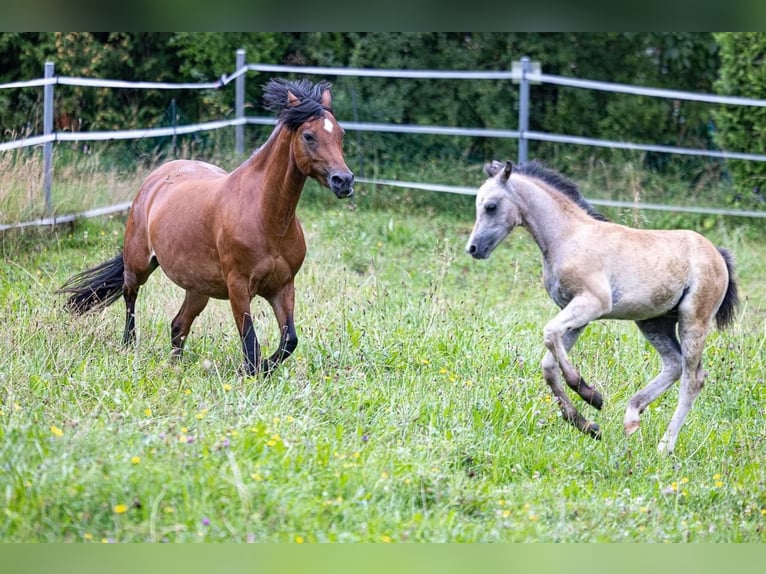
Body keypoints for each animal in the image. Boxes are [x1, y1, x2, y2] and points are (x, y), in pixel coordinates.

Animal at [57, 79, 356, 380]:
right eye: (308, 135)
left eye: (340, 134)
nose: (343, 181)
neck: (265, 216)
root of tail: (156, 178)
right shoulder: (238, 287)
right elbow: (250, 343)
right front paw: (249, 371)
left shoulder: (283, 287)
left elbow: (288, 341)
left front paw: (260, 369)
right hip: (139, 263)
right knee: (131, 296)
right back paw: (129, 345)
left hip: (198, 288)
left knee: (178, 325)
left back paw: (174, 365)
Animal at [464, 161, 740, 454]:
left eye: (491, 206)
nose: (474, 248)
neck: (568, 237)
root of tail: (718, 254)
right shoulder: (576, 314)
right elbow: (549, 365)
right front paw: (587, 425)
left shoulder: (592, 303)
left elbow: (550, 334)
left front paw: (590, 394)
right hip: (654, 321)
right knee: (674, 365)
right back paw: (631, 417)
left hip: (693, 320)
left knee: (693, 378)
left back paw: (664, 446)